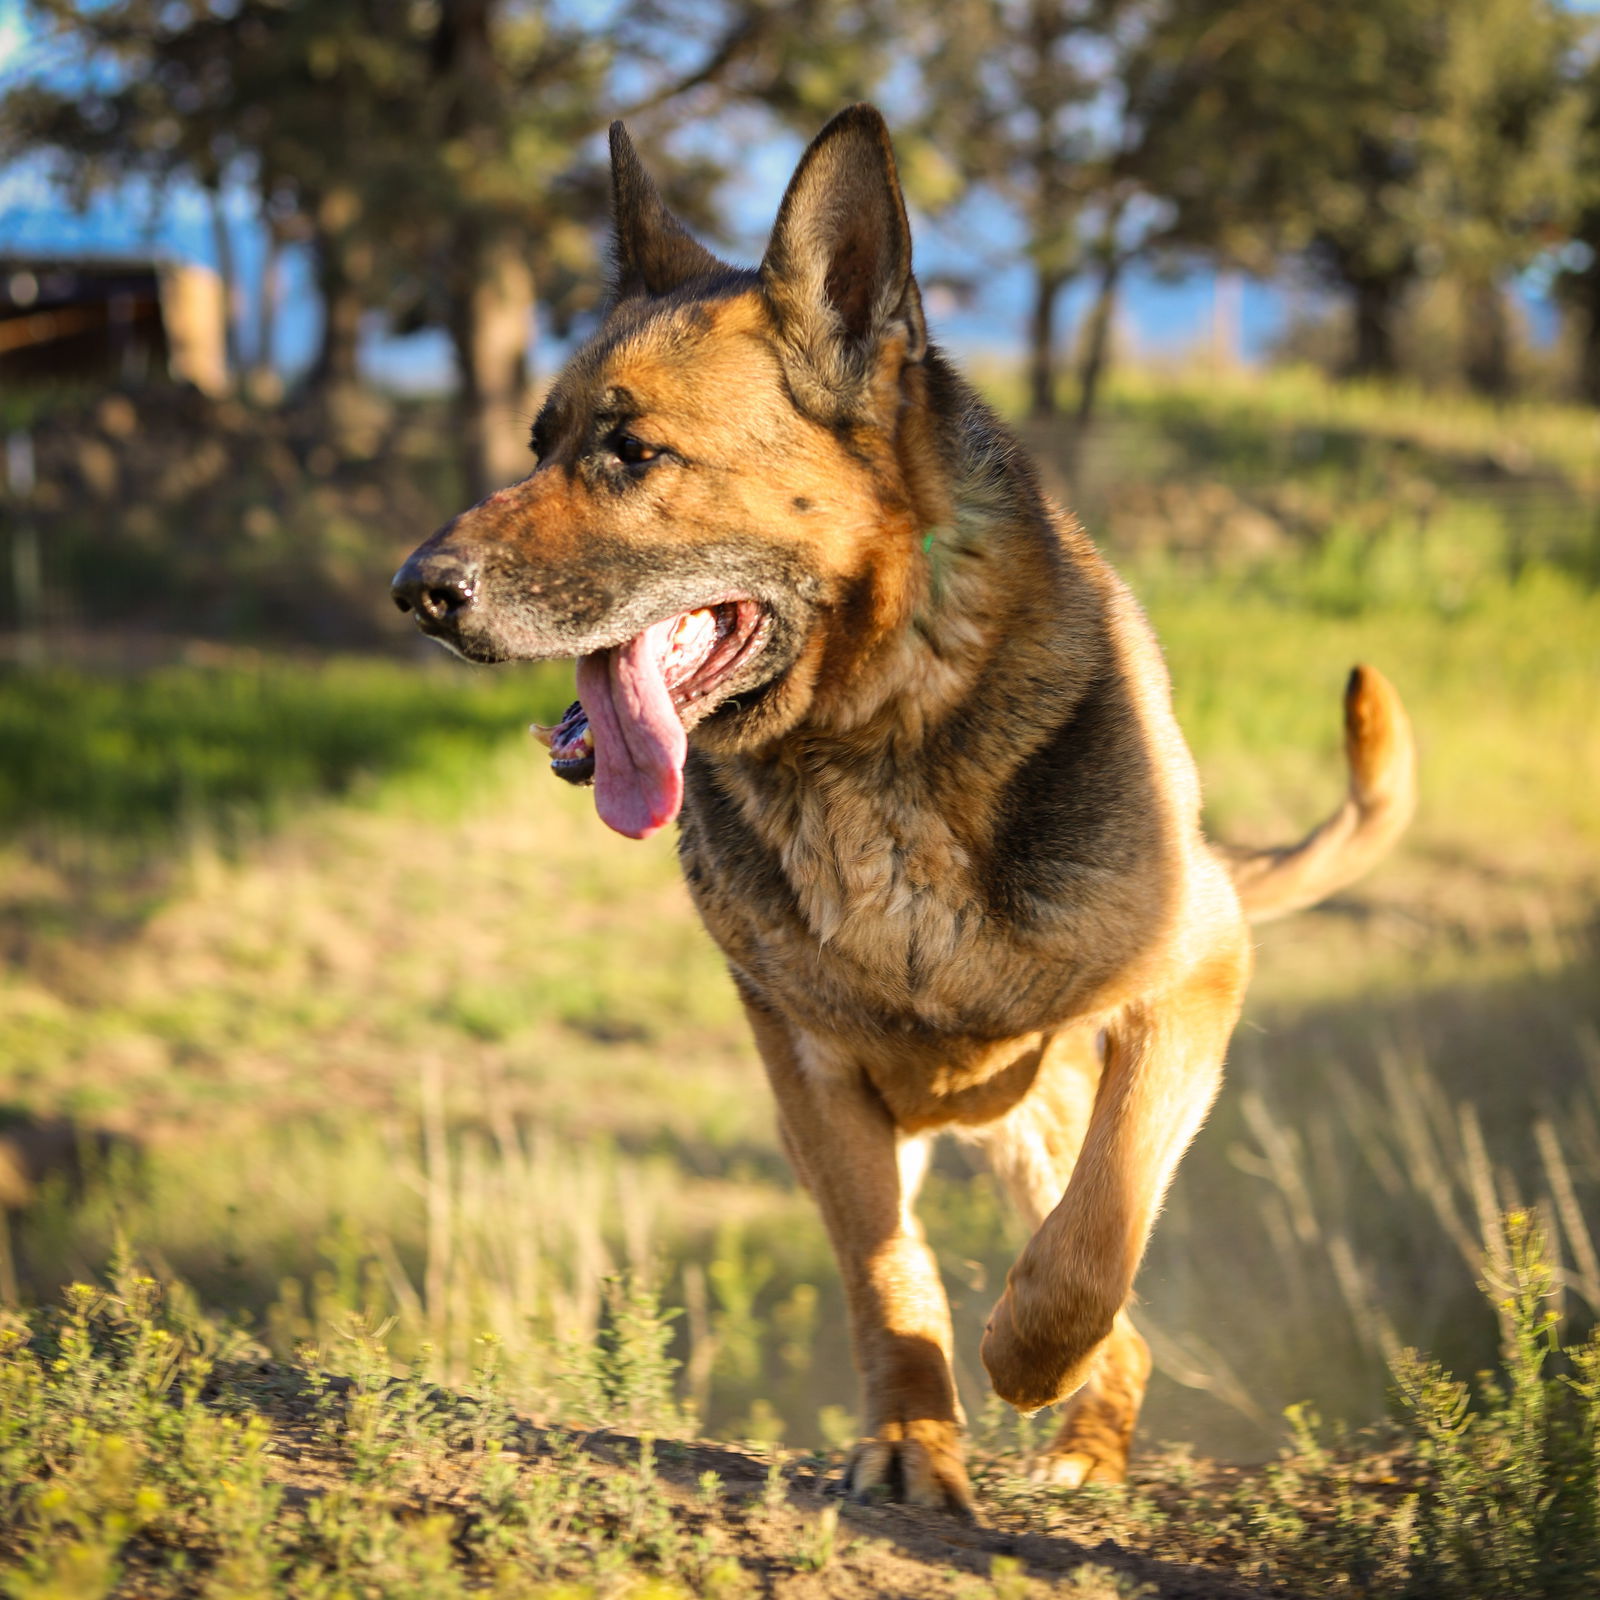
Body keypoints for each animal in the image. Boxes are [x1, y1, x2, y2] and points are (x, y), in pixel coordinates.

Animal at [396, 103, 1414, 1510]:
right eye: (539, 441)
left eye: (631, 451)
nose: (415, 590)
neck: (869, 741)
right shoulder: (806, 1064)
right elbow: (887, 1267)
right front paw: (911, 1438)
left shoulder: (1194, 971)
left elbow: (1099, 1230)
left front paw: (1029, 1357)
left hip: (1045, 1103)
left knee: (1120, 1303)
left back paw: (1083, 1435)